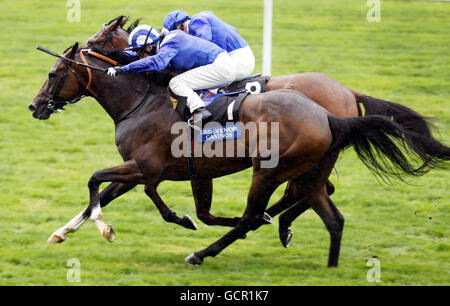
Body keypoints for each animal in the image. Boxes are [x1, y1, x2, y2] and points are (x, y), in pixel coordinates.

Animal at [29, 42, 448, 266]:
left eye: (52, 74)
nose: (35, 106)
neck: (142, 101)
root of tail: (332, 111)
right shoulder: (163, 170)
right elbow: (108, 194)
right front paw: (61, 232)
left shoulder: (143, 166)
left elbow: (97, 181)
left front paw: (108, 228)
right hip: (309, 172)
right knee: (328, 211)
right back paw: (308, 249)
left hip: (270, 170)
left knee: (256, 214)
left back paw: (208, 250)